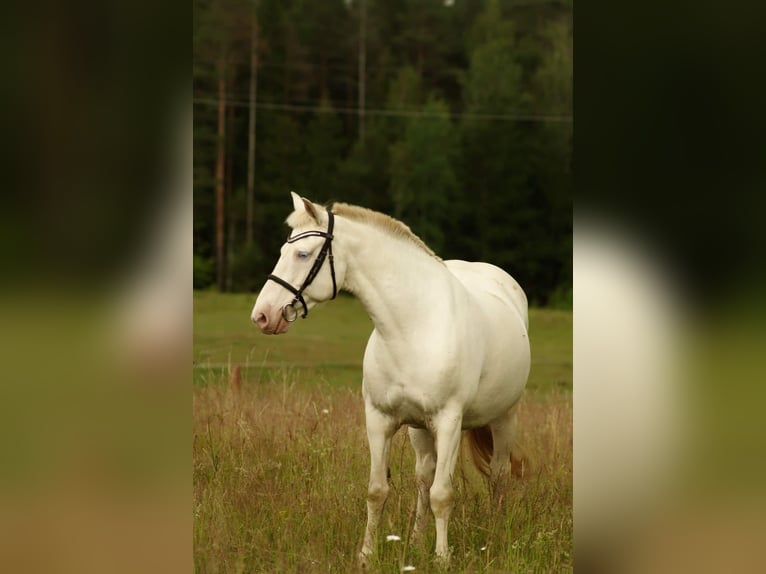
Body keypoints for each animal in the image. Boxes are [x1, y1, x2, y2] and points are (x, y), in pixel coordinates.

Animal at [252, 192, 536, 568]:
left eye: (302, 254)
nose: (263, 315)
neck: (412, 327)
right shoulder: (379, 419)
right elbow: (378, 490)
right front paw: (366, 555)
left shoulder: (448, 421)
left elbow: (443, 495)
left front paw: (442, 559)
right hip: (420, 430)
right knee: (423, 478)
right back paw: (416, 541)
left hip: (504, 418)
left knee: (498, 475)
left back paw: (493, 533)